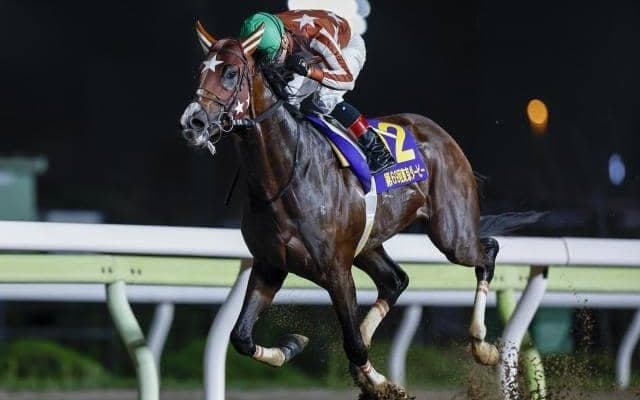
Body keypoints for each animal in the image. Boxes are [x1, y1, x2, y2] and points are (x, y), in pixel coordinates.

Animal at [179, 22, 540, 399]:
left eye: (231, 73)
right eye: (201, 70)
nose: (193, 122)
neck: (285, 176)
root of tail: (441, 134)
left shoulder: (336, 270)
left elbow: (352, 343)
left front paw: (382, 384)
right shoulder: (270, 265)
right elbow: (241, 337)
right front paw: (293, 345)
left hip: (452, 235)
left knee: (486, 253)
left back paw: (483, 347)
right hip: (369, 243)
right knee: (396, 280)